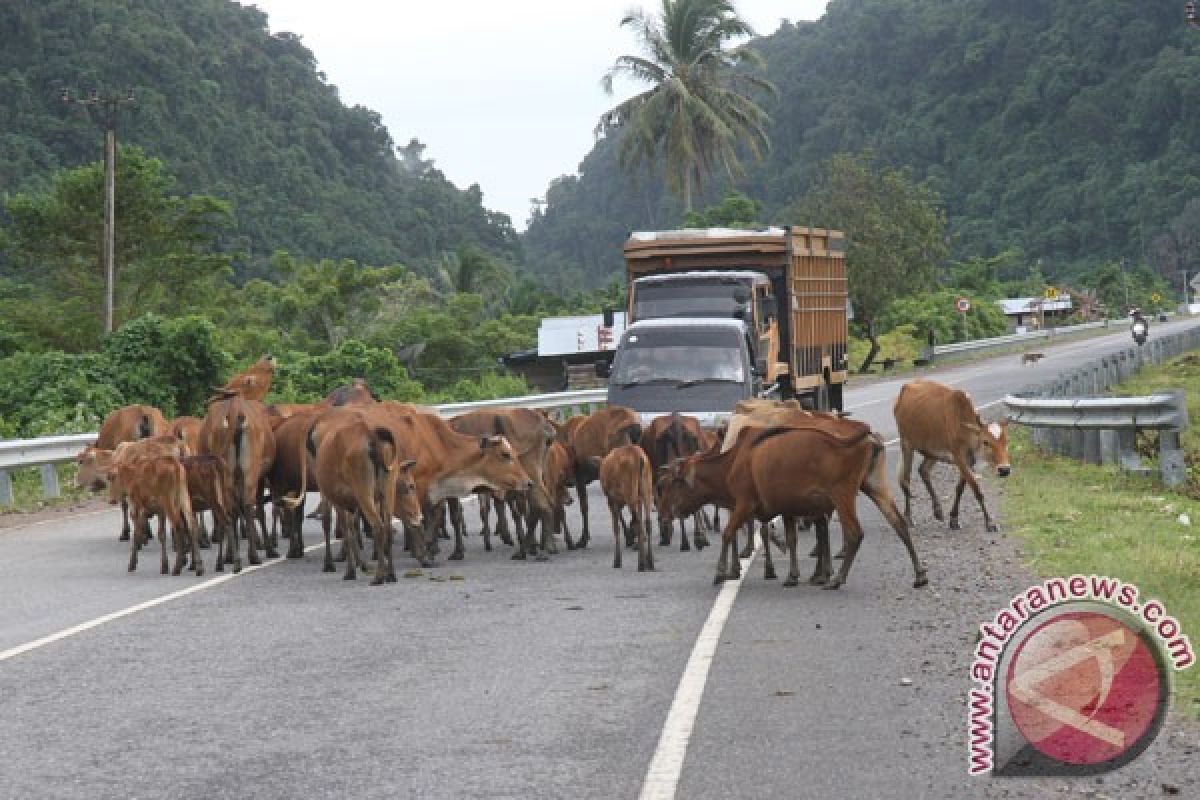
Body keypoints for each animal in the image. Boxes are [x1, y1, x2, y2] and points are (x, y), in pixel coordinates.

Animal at [657, 424, 926, 587]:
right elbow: (791, 539)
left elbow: (727, 533)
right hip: (876, 488)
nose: (665, 514)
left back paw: (838, 578)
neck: (734, 461)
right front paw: (792, 575)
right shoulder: (787, 508)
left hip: (843, 496)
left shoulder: (744, 503)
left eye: (672, 483)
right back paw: (919, 573)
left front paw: (721, 572)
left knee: (854, 534)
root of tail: (862, 436)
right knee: (899, 524)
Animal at [892, 381, 1012, 532]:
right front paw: (990, 522)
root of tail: (905, 388)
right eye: (986, 442)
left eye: (1007, 441)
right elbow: (976, 489)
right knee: (906, 480)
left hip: (932, 451)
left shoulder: (969, 461)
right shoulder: (959, 457)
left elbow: (959, 489)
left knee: (923, 470)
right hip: (906, 444)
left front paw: (954, 519)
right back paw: (908, 517)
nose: (1004, 470)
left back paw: (938, 511)